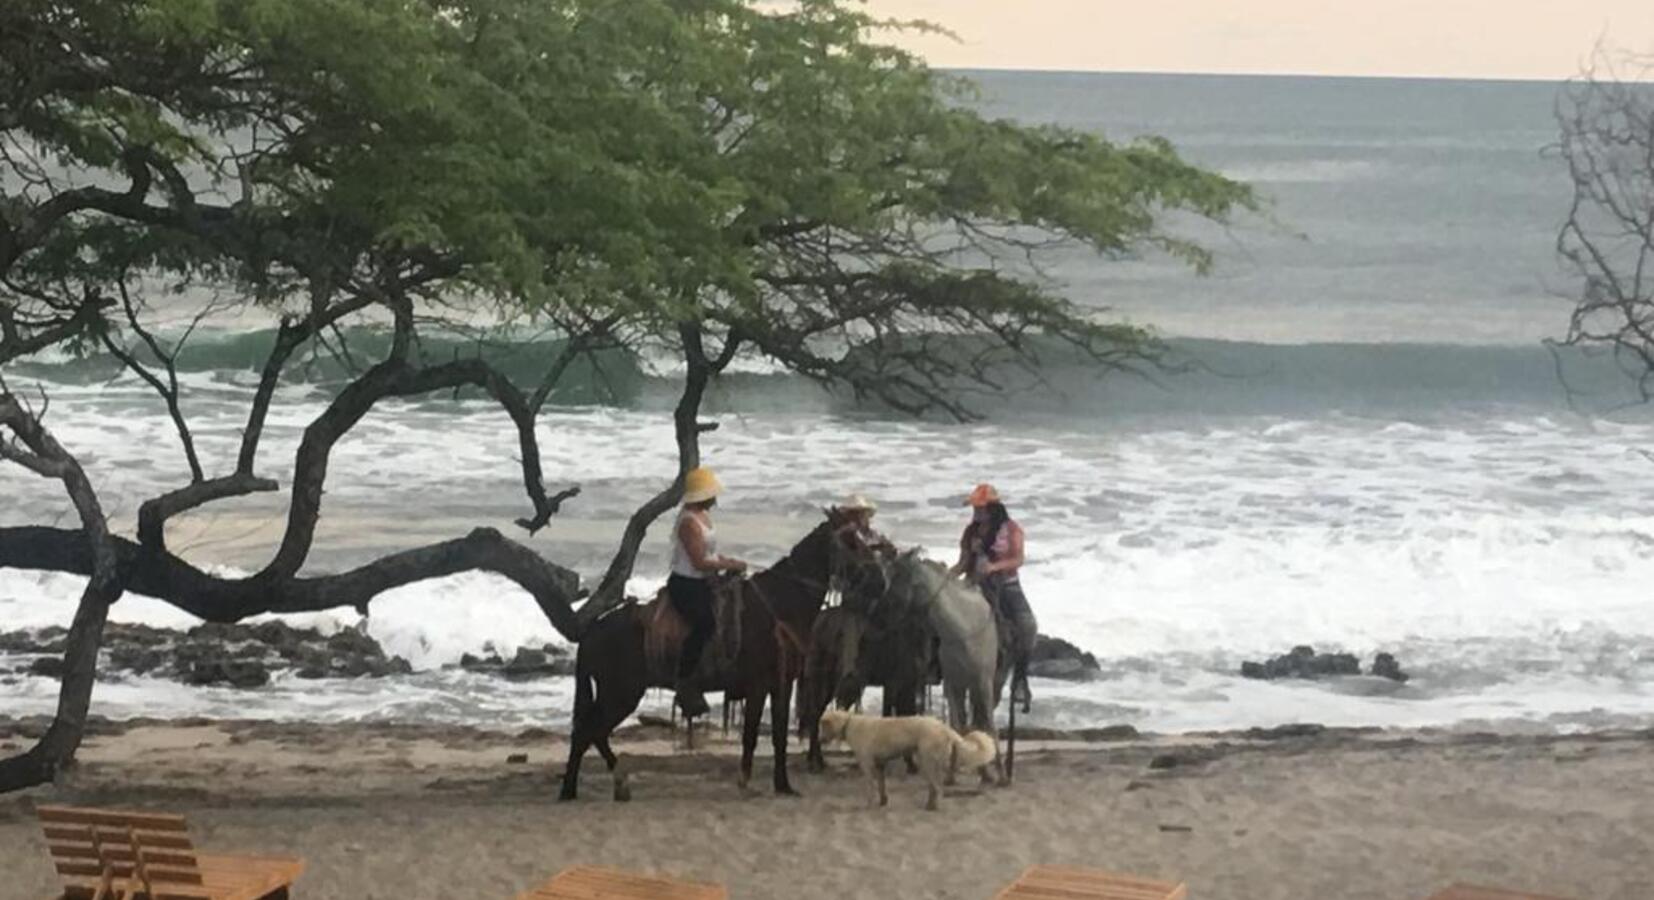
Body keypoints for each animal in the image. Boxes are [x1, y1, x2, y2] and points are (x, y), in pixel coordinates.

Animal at [562, 506, 886, 800]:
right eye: (851, 541)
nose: (881, 582)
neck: (779, 604)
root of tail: (592, 632)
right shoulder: (758, 686)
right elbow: (751, 735)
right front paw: (745, 782)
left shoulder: (781, 684)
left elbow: (779, 737)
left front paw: (783, 785)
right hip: (620, 694)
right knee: (586, 732)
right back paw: (570, 790)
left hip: (617, 694)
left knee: (594, 733)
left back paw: (615, 783)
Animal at [813, 711, 992, 807]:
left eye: (822, 726)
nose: (819, 740)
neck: (848, 723)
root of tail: (943, 726)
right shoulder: (880, 766)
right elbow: (881, 787)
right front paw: (882, 802)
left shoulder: (867, 765)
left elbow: (870, 788)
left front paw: (869, 804)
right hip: (929, 763)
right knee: (934, 788)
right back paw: (929, 805)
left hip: (926, 761)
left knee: (938, 788)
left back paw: (933, 807)